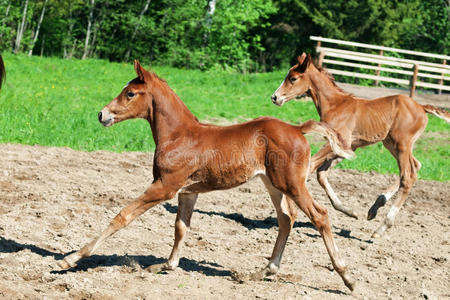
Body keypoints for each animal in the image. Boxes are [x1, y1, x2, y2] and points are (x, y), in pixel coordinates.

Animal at [270, 52, 450, 238]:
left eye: (293, 78)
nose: (275, 97)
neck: (335, 105)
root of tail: (421, 106)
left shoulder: (340, 141)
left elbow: (311, 166)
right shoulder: (347, 148)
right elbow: (321, 173)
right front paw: (350, 212)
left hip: (402, 145)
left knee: (408, 177)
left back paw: (381, 227)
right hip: (391, 144)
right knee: (415, 166)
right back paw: (375, 207)